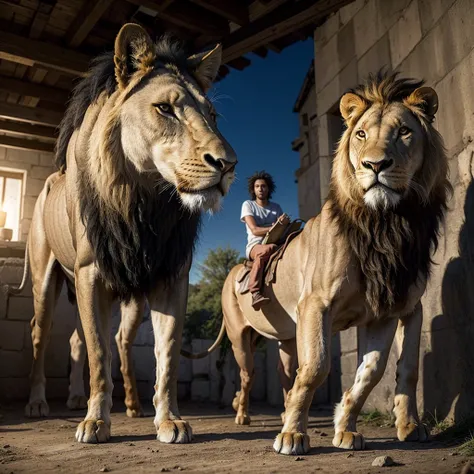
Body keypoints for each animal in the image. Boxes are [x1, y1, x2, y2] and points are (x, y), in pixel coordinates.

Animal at [15, 23, 237, 444]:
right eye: (165, 108)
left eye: (214, 114)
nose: (228, 164)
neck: (144, 200)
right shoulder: (89, 274)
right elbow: (99, 353)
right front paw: (96, 423)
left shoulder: (171, 276)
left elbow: (167, 354)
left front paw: (170, 420)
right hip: (46, 281)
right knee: (41, 333)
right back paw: (37, 403)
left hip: (130, 295)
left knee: (97, 339)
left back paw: (116, 403)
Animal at [218, 73, 448, 456]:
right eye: (361, 134)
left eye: (404, 131)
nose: (375, 165)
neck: (387, 226)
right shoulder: (316, 303)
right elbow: (316, 368)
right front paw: (292, 436)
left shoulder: (387, 311)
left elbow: (373, 371)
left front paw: (345, 428)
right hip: (242, 340)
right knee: (248, 377)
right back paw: (242, 415)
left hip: (286, 339)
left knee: (286, 375)